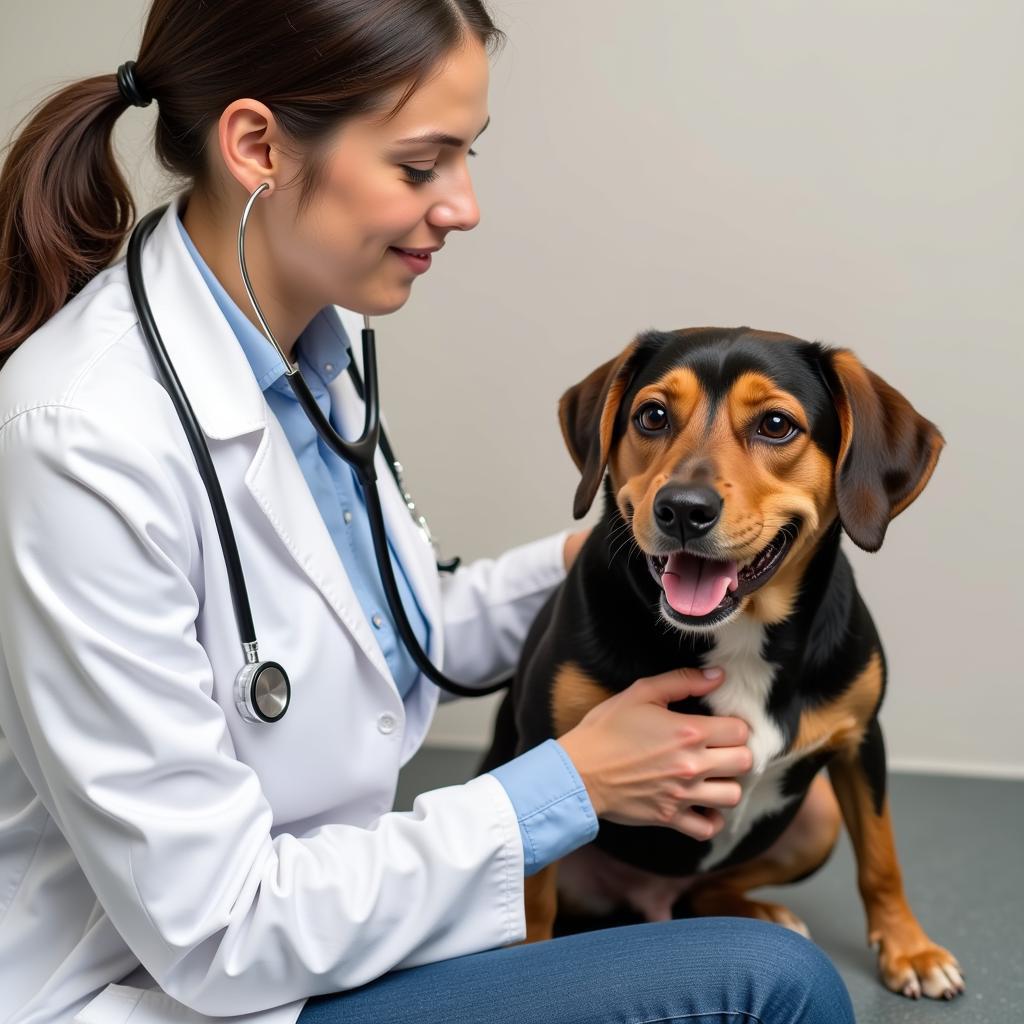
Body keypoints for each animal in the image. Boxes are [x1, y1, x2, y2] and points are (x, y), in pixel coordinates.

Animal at [477, 325, 958, 999]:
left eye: (777, 425)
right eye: (651, 416)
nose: (682, 508)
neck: (740, 634)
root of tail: (653, 901)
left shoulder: (863, 740)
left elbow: (882, 858)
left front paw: (910, 950)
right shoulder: (544, 747)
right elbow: (532, 898)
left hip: (818, 819)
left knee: (708, 890)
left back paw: (759, 910)